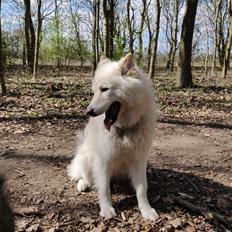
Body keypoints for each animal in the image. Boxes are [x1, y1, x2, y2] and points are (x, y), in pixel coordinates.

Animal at [66, 53, 160, 221]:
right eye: (94, 91)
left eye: (104, 89)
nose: (88, 111)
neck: (124, 128)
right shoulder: (103, 160)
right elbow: (103, 188)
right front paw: (106, 209)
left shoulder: (139, 159)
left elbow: (142, 188)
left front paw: (146, 210)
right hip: (87, 157)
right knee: (85, 176)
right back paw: (83, 184)